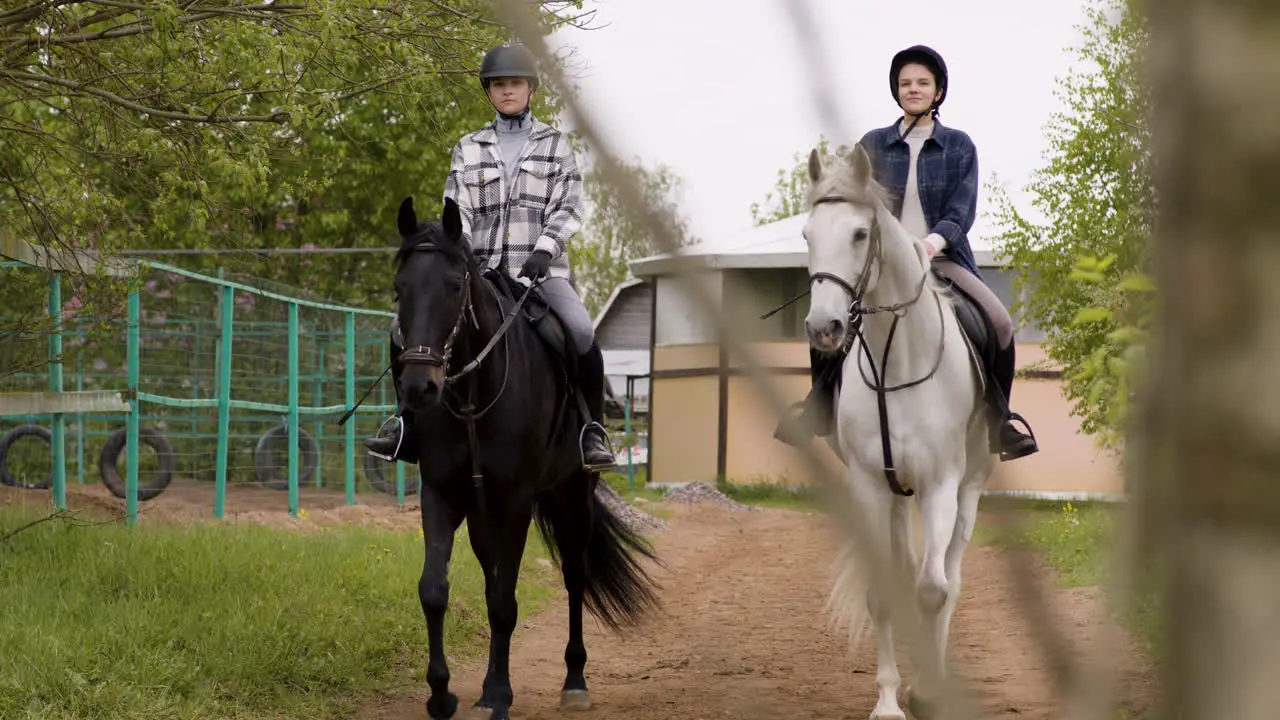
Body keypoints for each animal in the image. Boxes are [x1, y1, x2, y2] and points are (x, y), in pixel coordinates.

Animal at [389, 193, 660, 712]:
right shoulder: (441, 494)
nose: (419, 388)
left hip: (573, 495)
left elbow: (504, 603)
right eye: (399, 289)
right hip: (483, 515)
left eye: (454, 286)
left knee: (574, 576)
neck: (472, 397)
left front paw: (498, 694)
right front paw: (442, 695)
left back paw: (574, 681)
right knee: (494, 574)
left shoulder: (515, 501)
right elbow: (434, 590)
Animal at [803, 142, 993, 712]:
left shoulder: (940, 487)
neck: (897, 362)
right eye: (807, 235)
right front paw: (888, 702)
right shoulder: (869, 485)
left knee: (949, 580)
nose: (824, 328)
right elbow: (885, 592)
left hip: (968, 492)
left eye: (859, 234)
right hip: (894, 496)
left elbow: (933, 591)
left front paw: (928, 691)